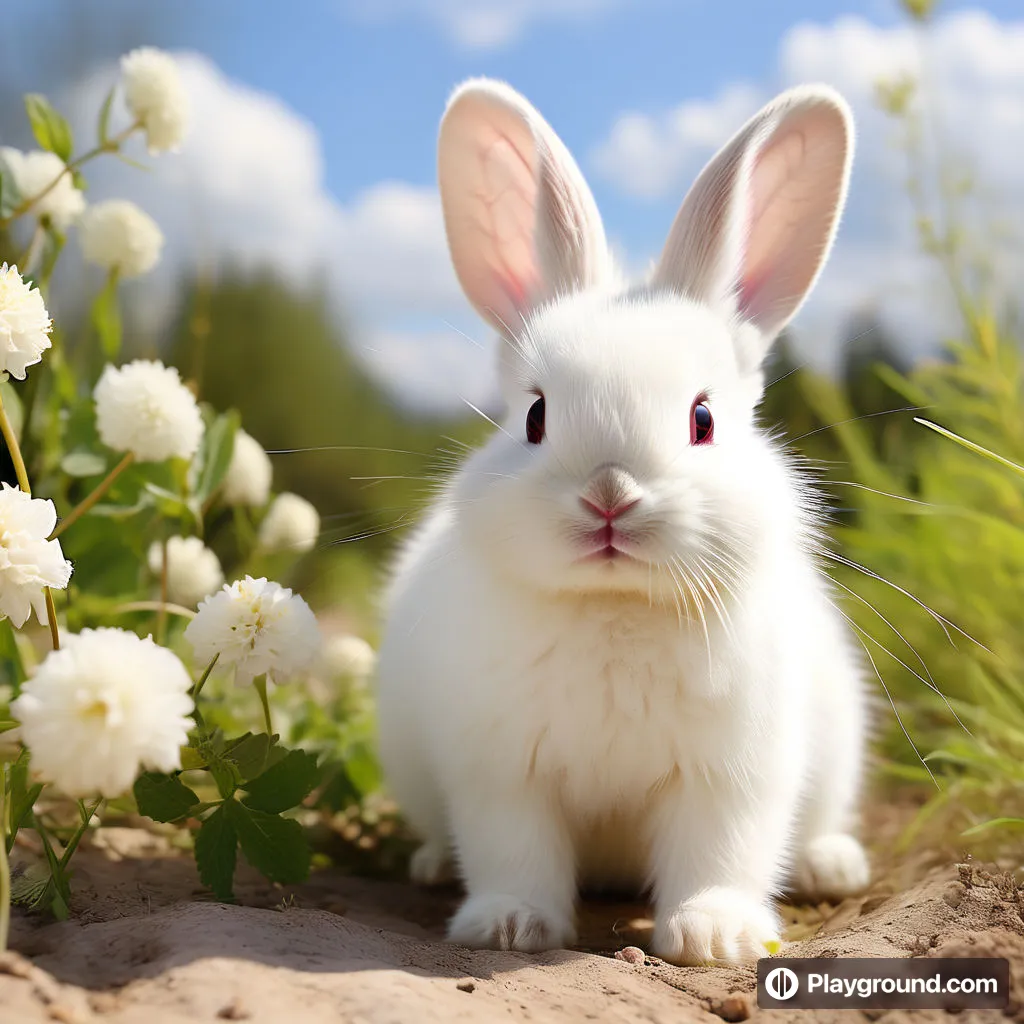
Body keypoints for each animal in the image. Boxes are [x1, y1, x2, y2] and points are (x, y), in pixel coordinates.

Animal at [376, 77, 872, 958]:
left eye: (702, 419)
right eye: (535, 416)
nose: (610, 494)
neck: (616, 606)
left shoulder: (732, 776)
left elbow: (721, 854)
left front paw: (715, 937)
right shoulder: (502, 774)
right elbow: (515, 852)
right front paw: (508, 926)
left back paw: (832, 865)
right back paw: (434, 866)